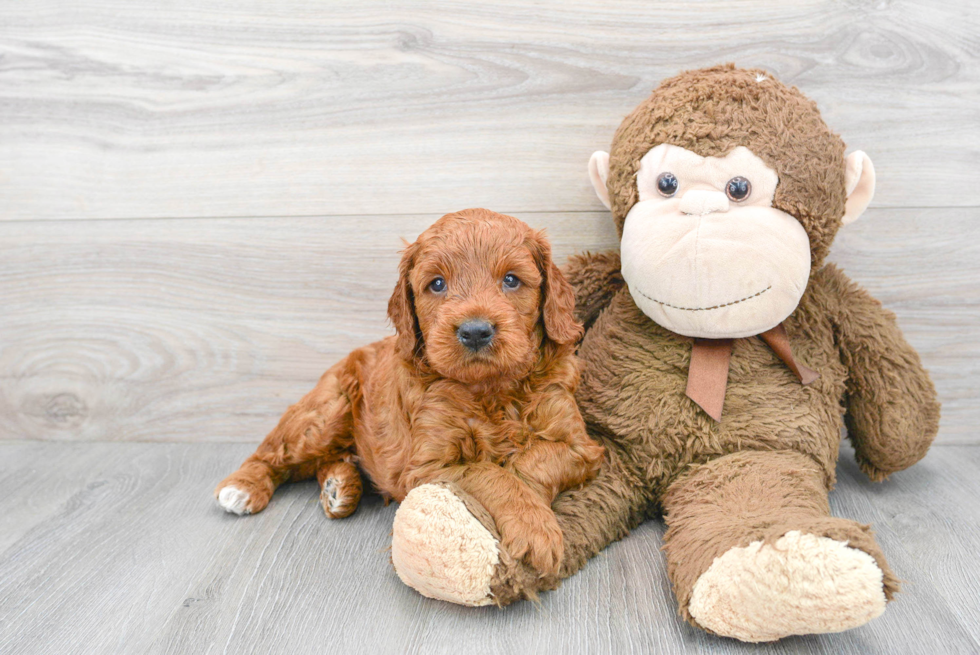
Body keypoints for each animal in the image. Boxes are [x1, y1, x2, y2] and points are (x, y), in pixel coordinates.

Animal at [214, 208, 604, 572]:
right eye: (437, 284)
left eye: (511, 280)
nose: (475, 331)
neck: (490, 388)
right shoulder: (427, 466)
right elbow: (490, 473)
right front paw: (533, 525)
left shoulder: (579, 444)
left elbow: (531, 461)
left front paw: (533, 513)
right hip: (326, 411)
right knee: (273, 452)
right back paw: (243, 488)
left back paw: (339, 486)